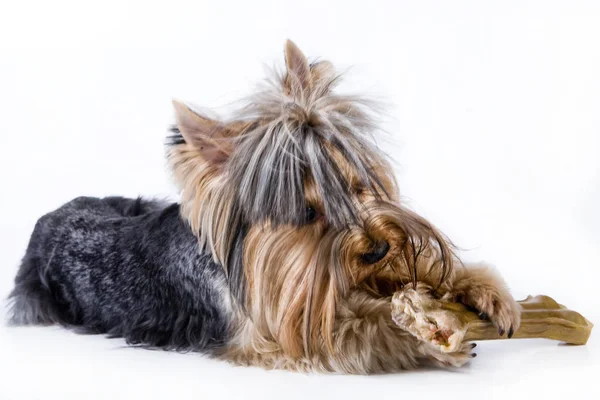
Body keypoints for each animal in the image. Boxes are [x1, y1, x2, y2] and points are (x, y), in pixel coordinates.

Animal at [5, 39, 520, 374]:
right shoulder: (267, 333)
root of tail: (51, 215)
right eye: (308, 214)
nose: (377, 248)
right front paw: (423, 337)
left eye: (357, 186)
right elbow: (348, 330)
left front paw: (480, 289)